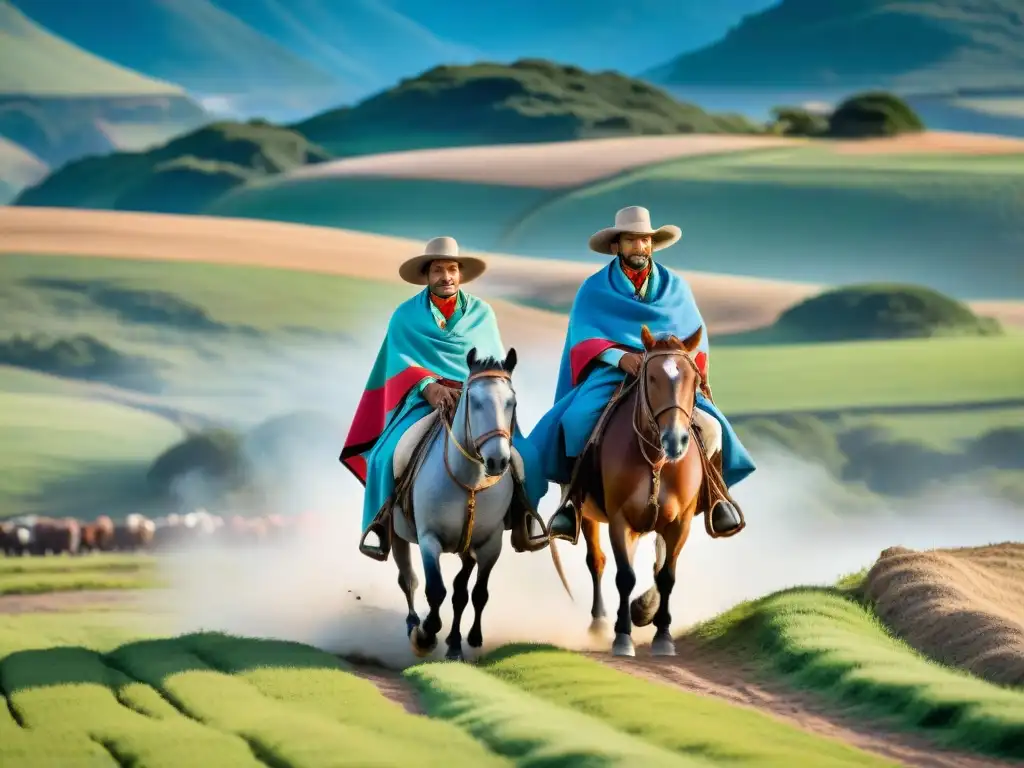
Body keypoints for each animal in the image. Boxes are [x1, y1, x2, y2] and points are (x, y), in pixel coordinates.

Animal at [389, 348, 569, 663]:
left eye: (512, 402)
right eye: (474, 401)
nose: (498, 460)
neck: (469, 481)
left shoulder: (489, 544)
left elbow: (477, 593)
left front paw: (469, 639)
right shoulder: (429, 538)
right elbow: (435, 590)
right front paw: (426, 634)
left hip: (467, 548)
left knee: (460, 591)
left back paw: (454, 643)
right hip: (399, 533)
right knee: (408, 579)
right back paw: (415, 626)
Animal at [581, 323, 708, 655]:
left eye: (694, 380)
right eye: (651, 378)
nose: (675, 440)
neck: (655, 460)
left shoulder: (680, 523)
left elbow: (666, 576)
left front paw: (662, 634)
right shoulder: (619, 519)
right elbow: (625, 576)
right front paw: (623, 635)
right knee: (596, 560)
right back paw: (600, 623)